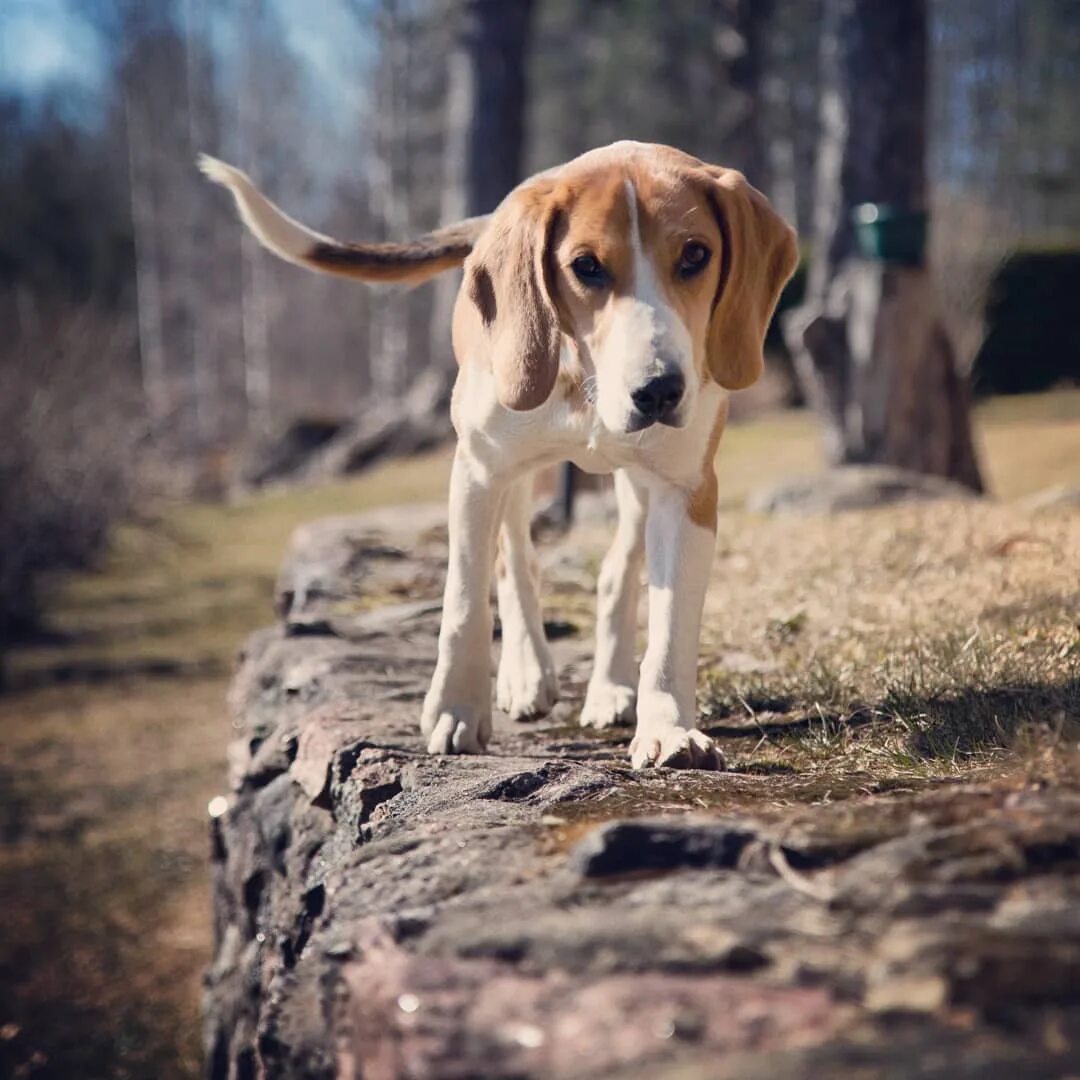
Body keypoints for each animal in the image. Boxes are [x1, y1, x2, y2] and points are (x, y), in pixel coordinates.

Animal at [198, 141, 799, 768]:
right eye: (586, 266)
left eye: (695, 255)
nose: (658, 390)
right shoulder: (479, 472)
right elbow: (465, 601)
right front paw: (457, 711)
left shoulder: (685, 491)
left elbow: (671, 624)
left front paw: (669, 729)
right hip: (511, 470)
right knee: (515, 563)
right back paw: (527, 672)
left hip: (634, 484)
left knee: (615, 572)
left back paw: (609, 687)